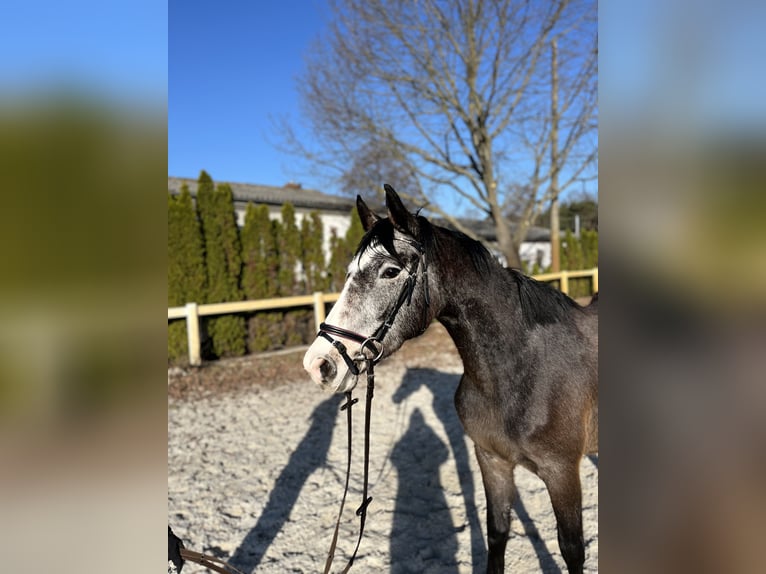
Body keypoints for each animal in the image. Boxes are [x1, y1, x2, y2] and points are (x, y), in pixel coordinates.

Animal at [303, 185, 598, 574]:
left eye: (390, 271)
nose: (320, 364)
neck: (521, 372)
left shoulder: (562, 472)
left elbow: (572, 549)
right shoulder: (492, 461)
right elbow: (497, 533)